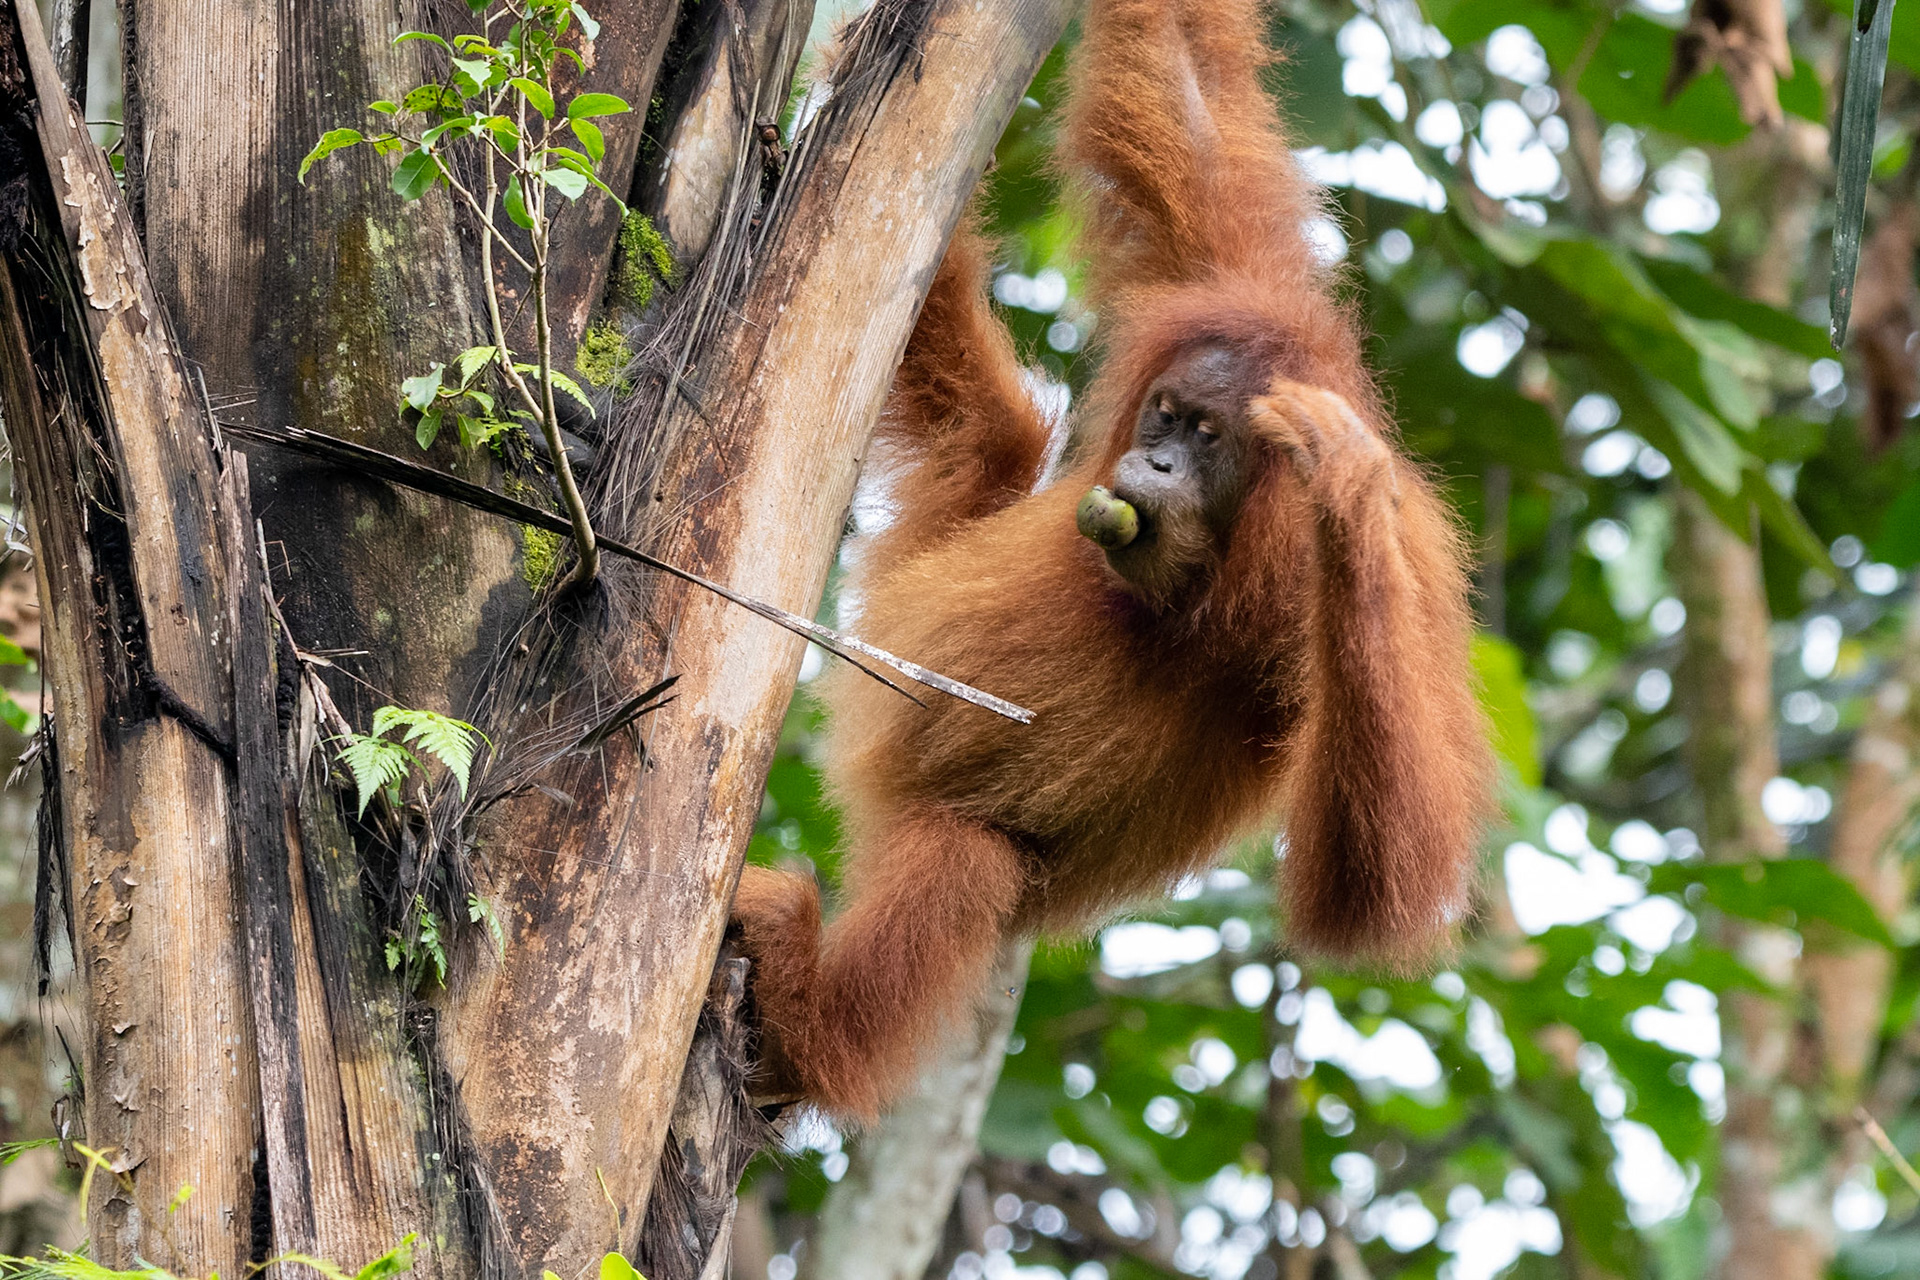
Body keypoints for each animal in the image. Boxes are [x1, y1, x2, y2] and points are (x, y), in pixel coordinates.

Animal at [731, 0, 1495, 1122]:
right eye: (1168, 413)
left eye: (1207, 437)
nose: (1155, 459)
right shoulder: (1224, 275)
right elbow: (1185, 96)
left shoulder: (1425, 575)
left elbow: (1378, 883)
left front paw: (1346, 499)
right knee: (993, 435)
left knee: (969, 858)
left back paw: (806, 1028)